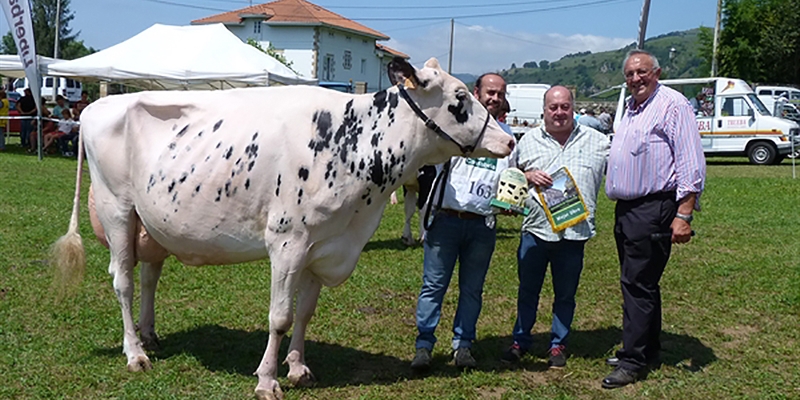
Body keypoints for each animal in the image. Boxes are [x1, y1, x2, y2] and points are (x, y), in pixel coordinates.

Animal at [51, 57, 512, 400]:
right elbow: (280, 316)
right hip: (117, 209)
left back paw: (150, 336)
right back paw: (135, 353)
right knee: (123, 281)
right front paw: (267, 379)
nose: (508, 140)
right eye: (459, 98)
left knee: (149, 277)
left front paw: (298, 367)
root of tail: (95, 107)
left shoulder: (323, 244)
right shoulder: (288, 241)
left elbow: (305, 313)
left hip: (153, 222)